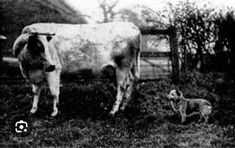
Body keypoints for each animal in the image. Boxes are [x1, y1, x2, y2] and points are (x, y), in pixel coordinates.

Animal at [12, 22, 140, 117]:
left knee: (122, 87)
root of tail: (132, 25)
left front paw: (54, 112)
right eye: (37, 46)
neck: (29, 68)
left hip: (122, 67)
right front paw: (33, 110)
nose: (51, 66)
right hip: (125, 69)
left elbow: (54, 92)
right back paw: (122, 107)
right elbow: (35, 92)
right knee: (130, 82)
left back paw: (113, 111)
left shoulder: (54, 71)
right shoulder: (36, 76)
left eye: (46, 47)